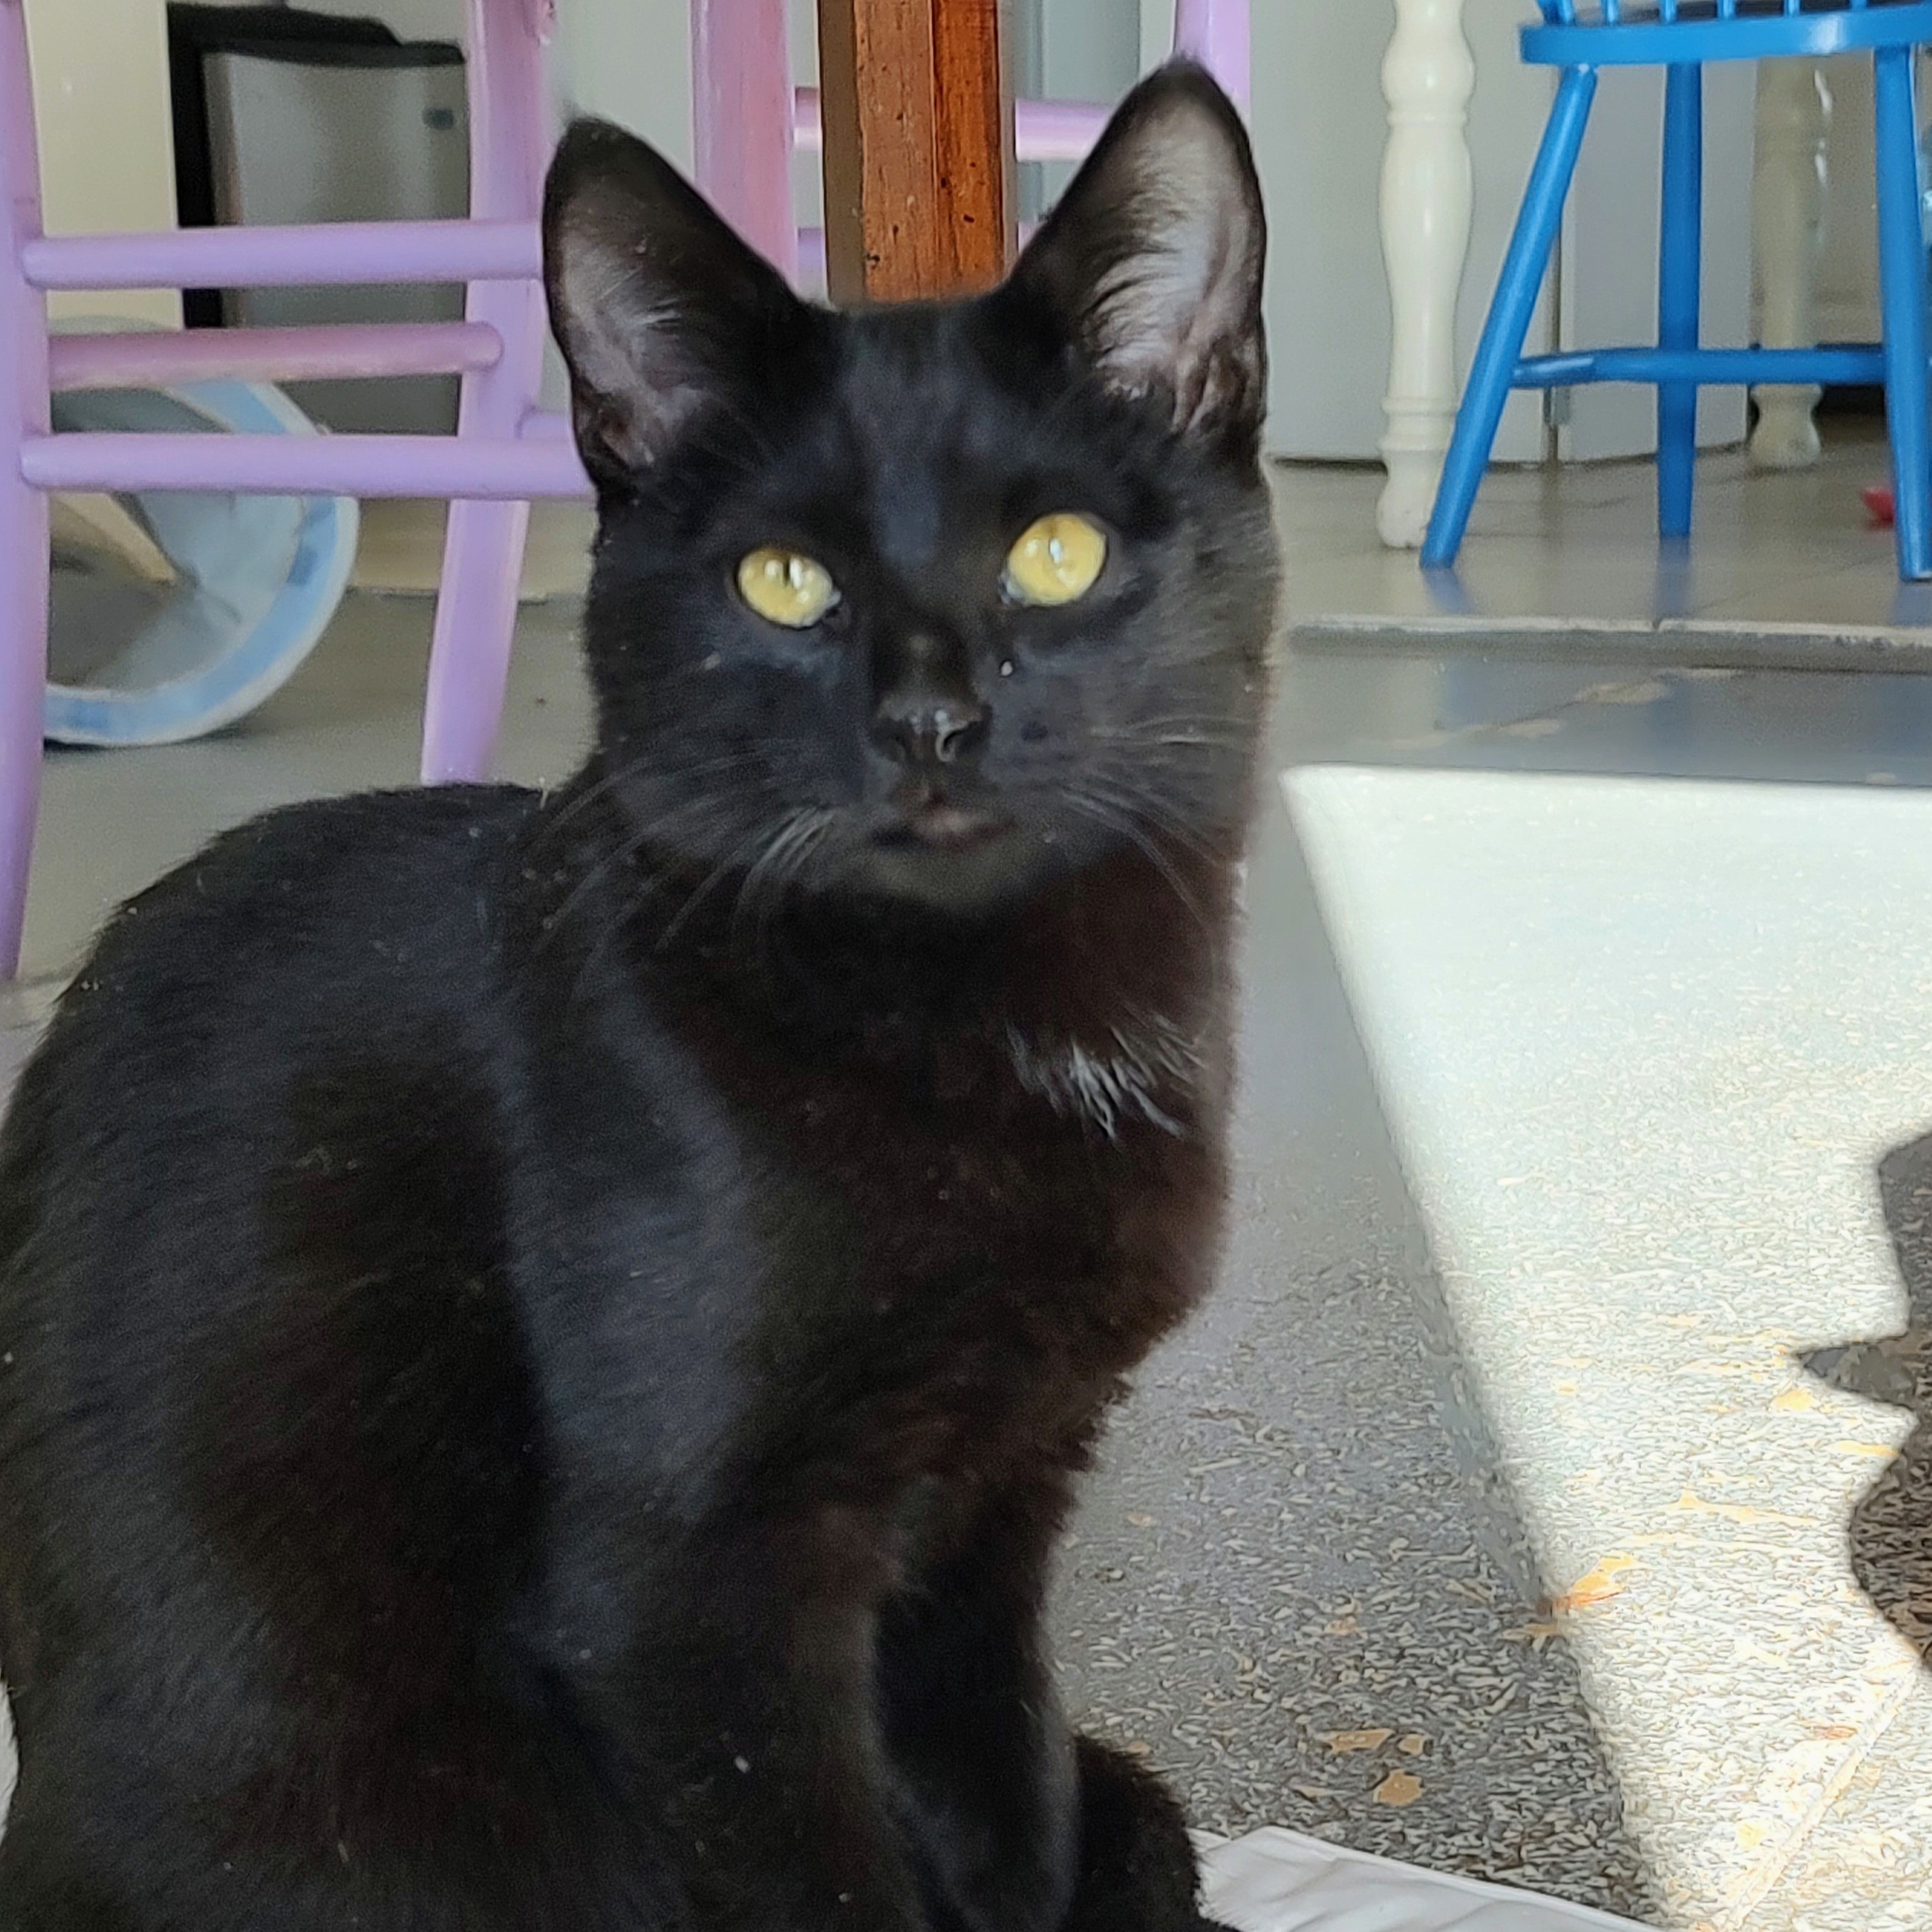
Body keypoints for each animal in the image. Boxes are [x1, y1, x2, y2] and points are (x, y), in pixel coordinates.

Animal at [3, 64, 1283, 1932]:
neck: (973, 1013)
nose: (927, 721)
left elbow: (1009, 1795)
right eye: (783, 583)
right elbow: (820, 1875)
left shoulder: (994, 1504)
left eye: (1055, 552)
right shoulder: (690, 1588)